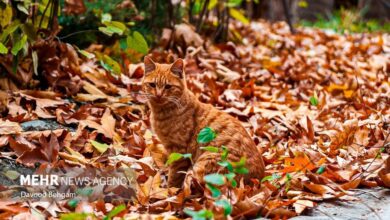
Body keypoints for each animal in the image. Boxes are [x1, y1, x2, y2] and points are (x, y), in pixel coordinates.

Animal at [142, 56, 266, 187]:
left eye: (168, 86)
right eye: (152, 85)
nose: (158, 95)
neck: (161, 112)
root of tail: (258, 180)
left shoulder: (179, 152)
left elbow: (174, 176)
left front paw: (170, 189)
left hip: (203, 164)